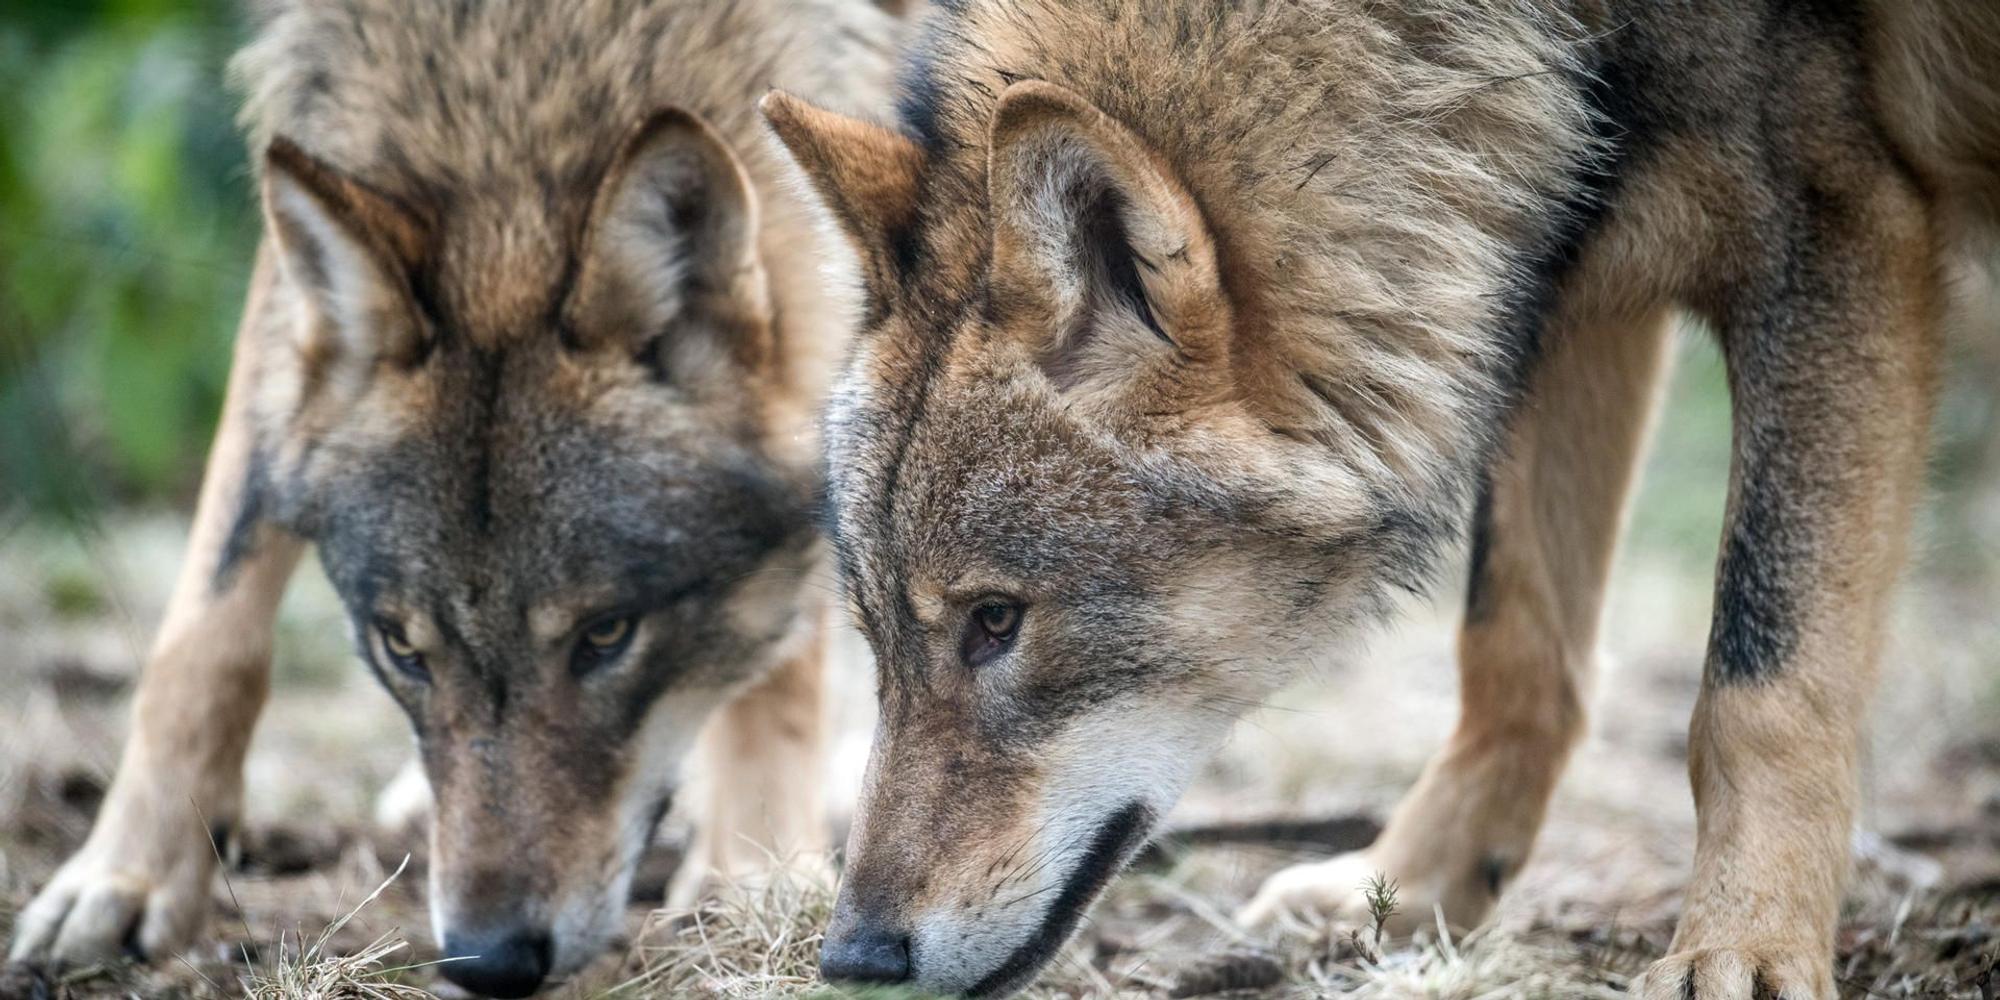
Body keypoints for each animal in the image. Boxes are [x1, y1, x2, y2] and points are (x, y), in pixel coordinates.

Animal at [7, 1, 894, 995]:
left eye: (606, 636)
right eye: (401, 648)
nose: (489, 959)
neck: (529, 65)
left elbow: (789, 629)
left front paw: (756, 866)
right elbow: (209, 617)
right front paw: (126, 874)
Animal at [761, 0, 2000, 996]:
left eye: (994, 621)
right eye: (876, 636)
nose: (851, 957)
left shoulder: (1839, 229)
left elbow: (1756, 683)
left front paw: (1738, 948)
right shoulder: (1541, 289)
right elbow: (1512, 647)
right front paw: (1415, 888)